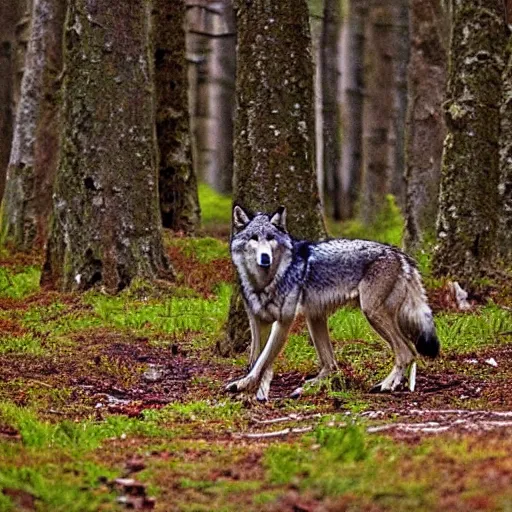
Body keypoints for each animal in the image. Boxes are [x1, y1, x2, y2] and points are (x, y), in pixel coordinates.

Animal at [225, 204, 440, 400]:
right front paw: (250, 386)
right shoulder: (257, 321)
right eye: (254, 238)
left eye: (270, 238)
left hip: (370, 313)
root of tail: (398, 253)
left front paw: (245, 385)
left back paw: (386, 385)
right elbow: (255, 358)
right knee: (333, 365)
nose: (265, 258)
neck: (265, 282)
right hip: (317, 318)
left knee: (406, 351)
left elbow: (262, 359)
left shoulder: (284, 322)